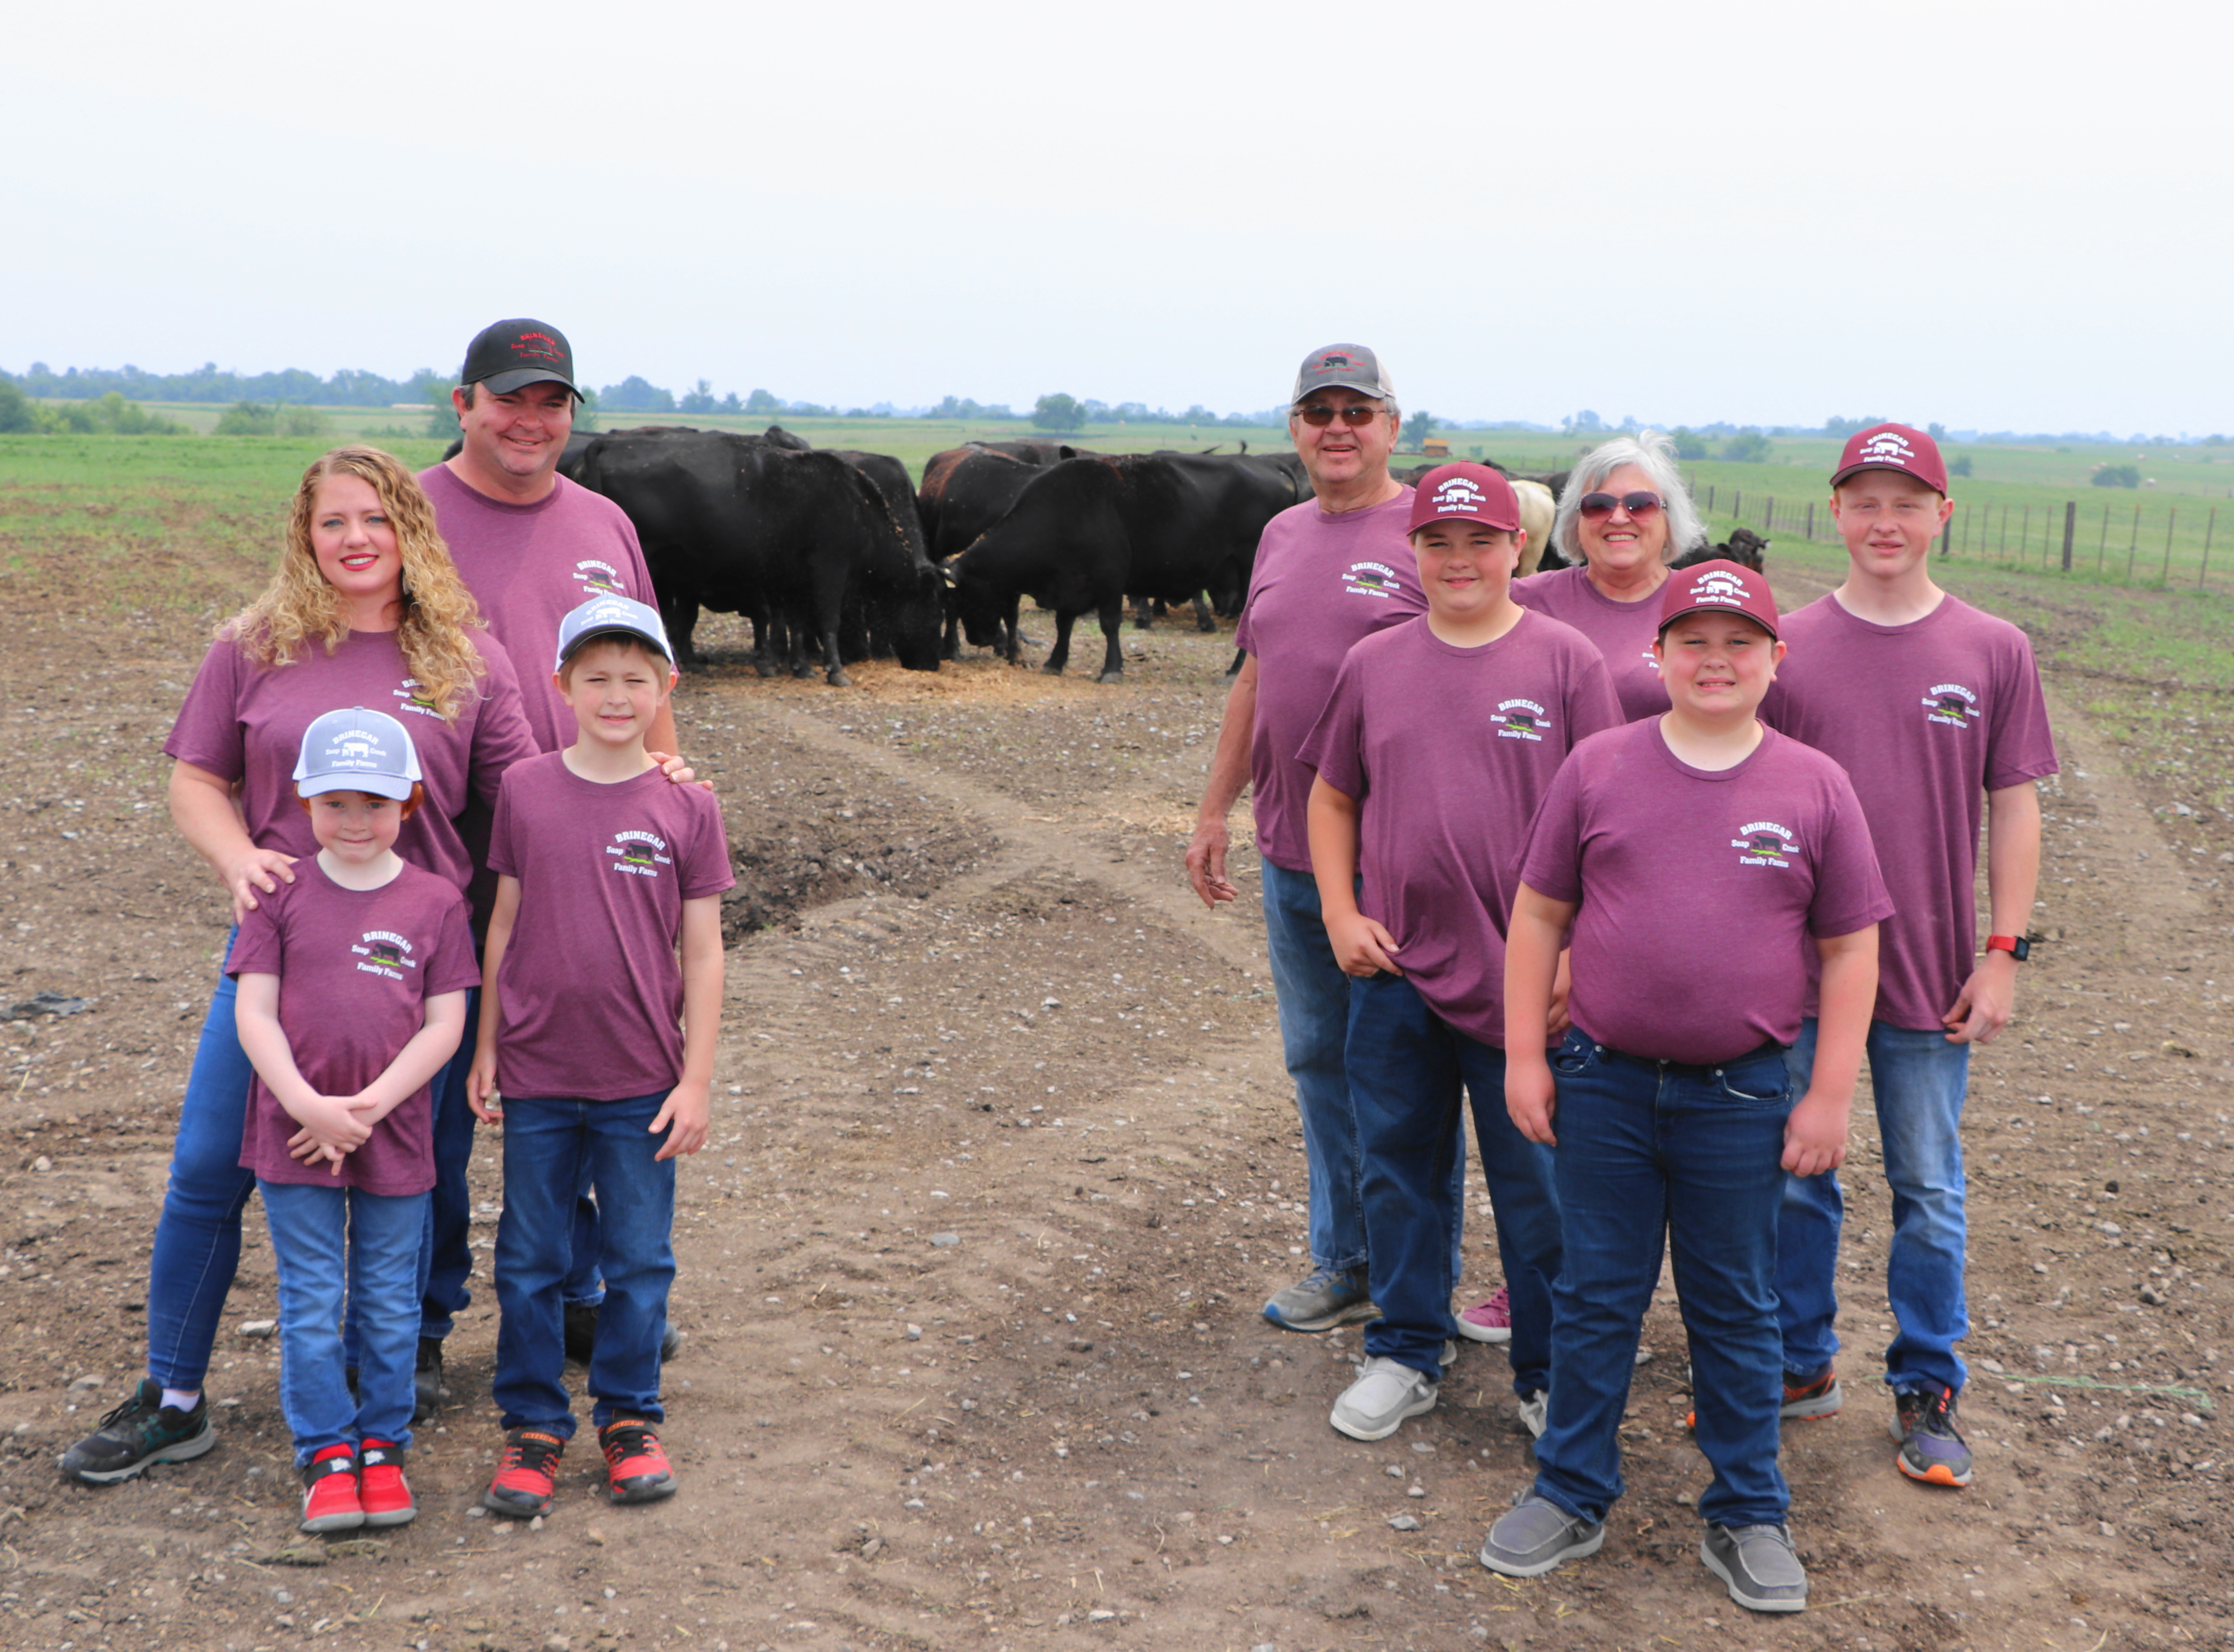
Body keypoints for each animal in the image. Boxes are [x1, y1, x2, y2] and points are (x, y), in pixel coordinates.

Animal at [567, 433, 943, 683]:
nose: (932, 664)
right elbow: (828, 619)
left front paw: (800, 666)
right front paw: (835, 671)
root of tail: (610, 444)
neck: (855, 503)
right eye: (933, 612)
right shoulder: (829, 567)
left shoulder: (793, 574)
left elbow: (795, 620)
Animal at [952, 449, 1305, 678]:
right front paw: (1055, 662)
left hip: (1248, 568)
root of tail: (1269, 464)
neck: (1062, 510)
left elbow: (1109, 624)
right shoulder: (1069, 584)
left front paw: (1111, 668)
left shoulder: (1109, 580)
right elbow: (1063, 624)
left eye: (969, 594)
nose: (977, 638)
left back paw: (1236, 670)